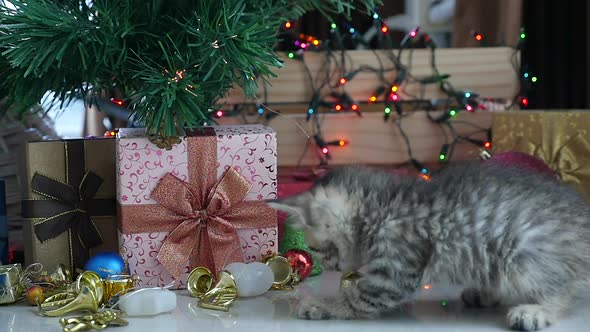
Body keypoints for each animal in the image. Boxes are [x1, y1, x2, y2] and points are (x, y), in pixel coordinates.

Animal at [270, 162, 590, 330]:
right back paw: (485, 293)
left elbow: (359, 299)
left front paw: (323, 304)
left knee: (564, 288)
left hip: (524, 255)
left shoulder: (396, 267)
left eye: (318, 251)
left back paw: (536, 310)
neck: (383, 207)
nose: (334, 268)